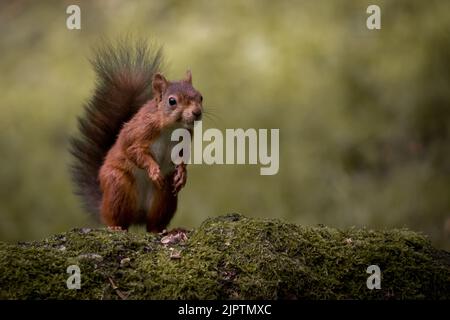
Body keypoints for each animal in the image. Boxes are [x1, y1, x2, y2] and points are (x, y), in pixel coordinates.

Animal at [70, 42, 202, 232]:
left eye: (200, 97)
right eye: (172, 101)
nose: (197, 113)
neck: (171, 127)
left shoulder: (184, 140)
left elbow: (183, 156)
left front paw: (182, 174)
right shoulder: (139, 133)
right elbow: (134, 151)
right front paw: (154, 170)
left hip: (164, 197)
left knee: (153, 223)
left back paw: (160, 230)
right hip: (118, 186)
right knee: (116, 218)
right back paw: (116, 227)